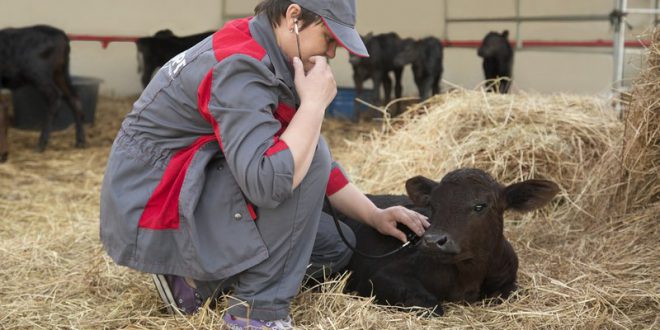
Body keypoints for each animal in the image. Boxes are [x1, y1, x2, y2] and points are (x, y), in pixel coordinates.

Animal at [0, 24, 85, 162]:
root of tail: (61, 35)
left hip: (38, 73)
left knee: (54, 97)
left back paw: (41, 144)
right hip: (60, 73)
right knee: (74, 98)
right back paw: (80, 141)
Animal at [342, 168, 560, 314]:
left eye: (480, 206)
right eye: (432, 204)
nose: (432, 241)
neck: (469, 275)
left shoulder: (508, 278)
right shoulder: (380, 276)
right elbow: (430, 305)